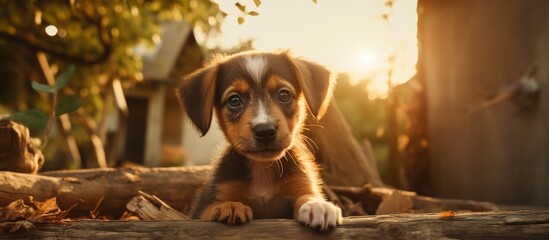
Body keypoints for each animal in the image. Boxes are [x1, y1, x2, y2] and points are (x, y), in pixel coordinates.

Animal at [178, 50, 340, 231]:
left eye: (284, 95)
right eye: (234, 100)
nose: (265, 131)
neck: (263, 170)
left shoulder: (299, 186)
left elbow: (306, 195)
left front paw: (317, 205)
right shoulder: (200, 210)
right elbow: (212, 208)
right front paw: (229, 205)